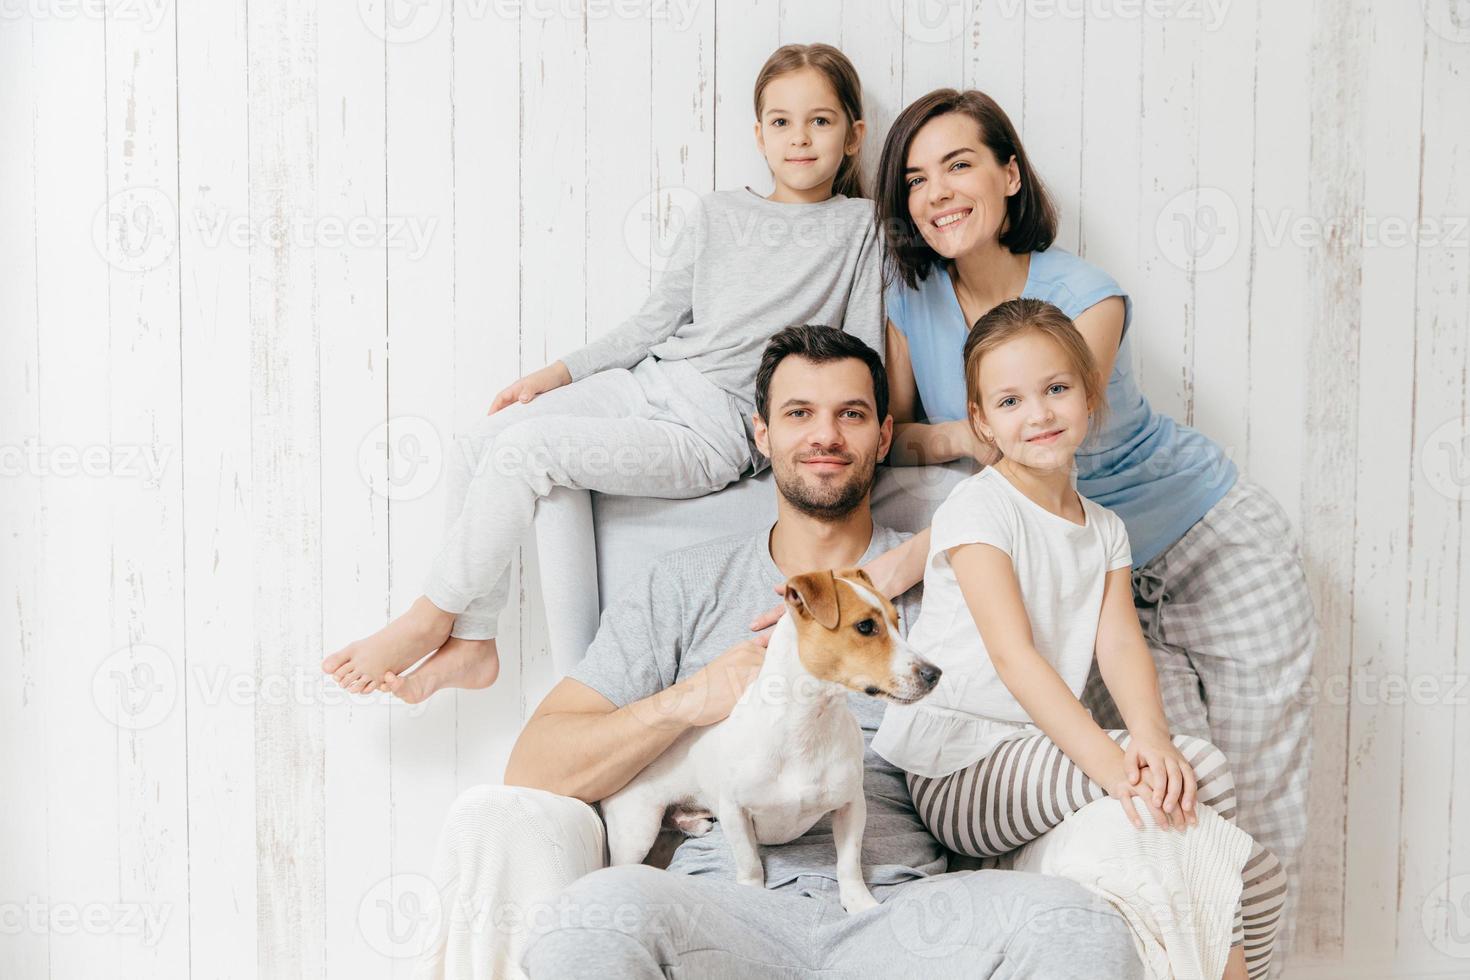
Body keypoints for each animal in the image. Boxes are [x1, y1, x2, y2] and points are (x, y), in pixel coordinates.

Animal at [599, 564, 934, 916]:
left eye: (897, 621)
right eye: (866, 626)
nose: (934, 673)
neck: (808, 723)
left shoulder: (851, 806)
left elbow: (849, 863)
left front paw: (859, 902)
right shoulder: (735, 811)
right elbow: (749, 863)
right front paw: (752, 892)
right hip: (637, 829)